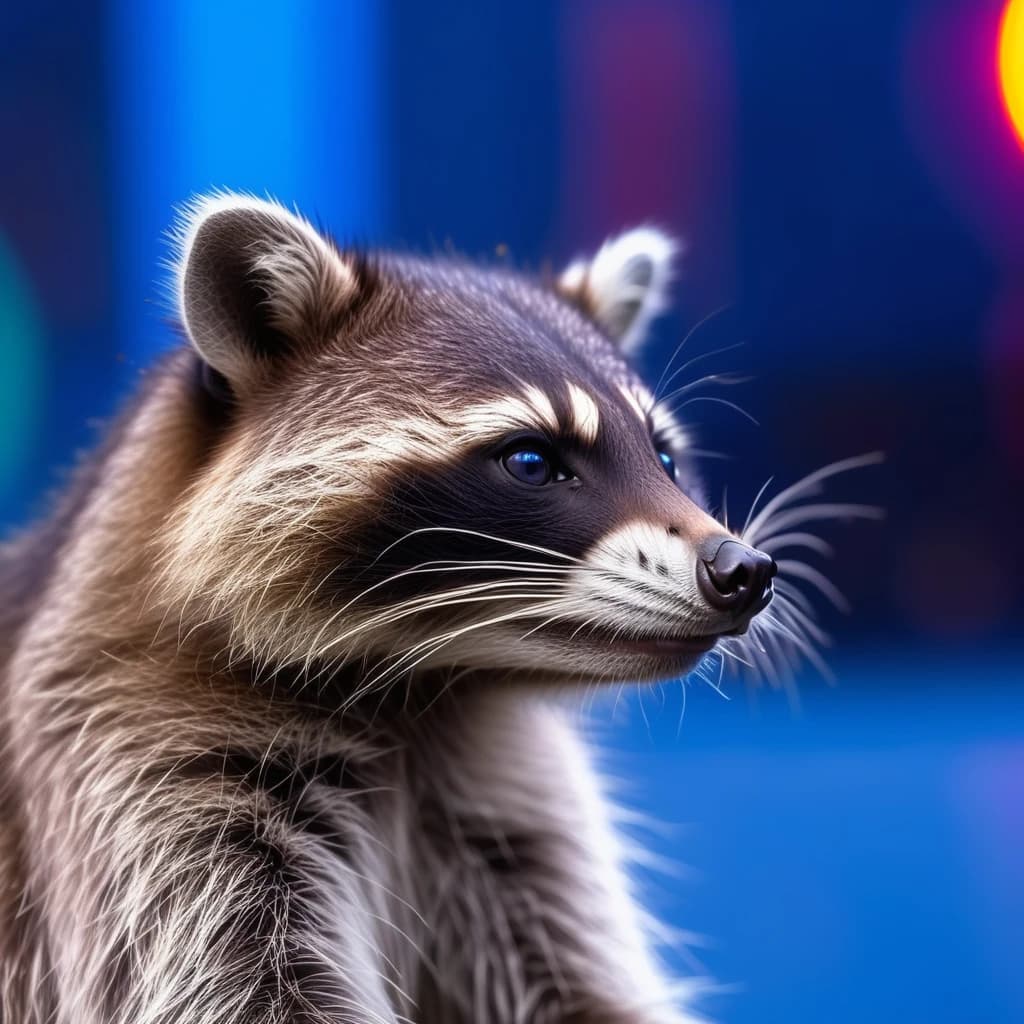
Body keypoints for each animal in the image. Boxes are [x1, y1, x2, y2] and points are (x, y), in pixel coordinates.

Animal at [0, 193, 866, 1023]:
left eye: (663, 456)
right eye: (531, 460)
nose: (743, 569)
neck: (419, 685)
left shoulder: (505, 811)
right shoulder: (130, 759)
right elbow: (230, 987)